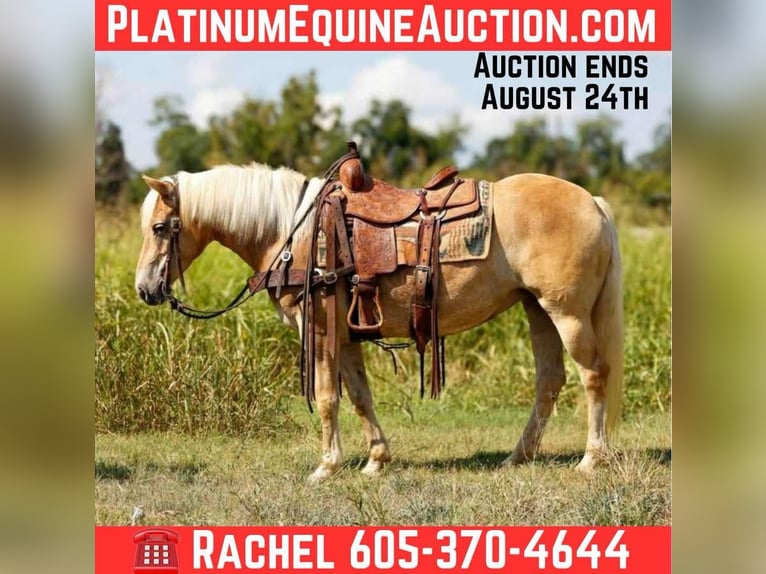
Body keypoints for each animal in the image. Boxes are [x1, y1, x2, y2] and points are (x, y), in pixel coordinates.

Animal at [134, 163, 623, 482]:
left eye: (160, 227)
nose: (144, 289)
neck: (293, 232)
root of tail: (595, 203)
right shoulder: (347, 335)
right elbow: (359, 397)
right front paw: (375, 460)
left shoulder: (320, 330)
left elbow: (327, 398)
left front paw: (326, 467)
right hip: (536, 309)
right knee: (550, 381)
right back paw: (518, 457)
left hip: (566, 313)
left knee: (593, 375)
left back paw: (591, 459)